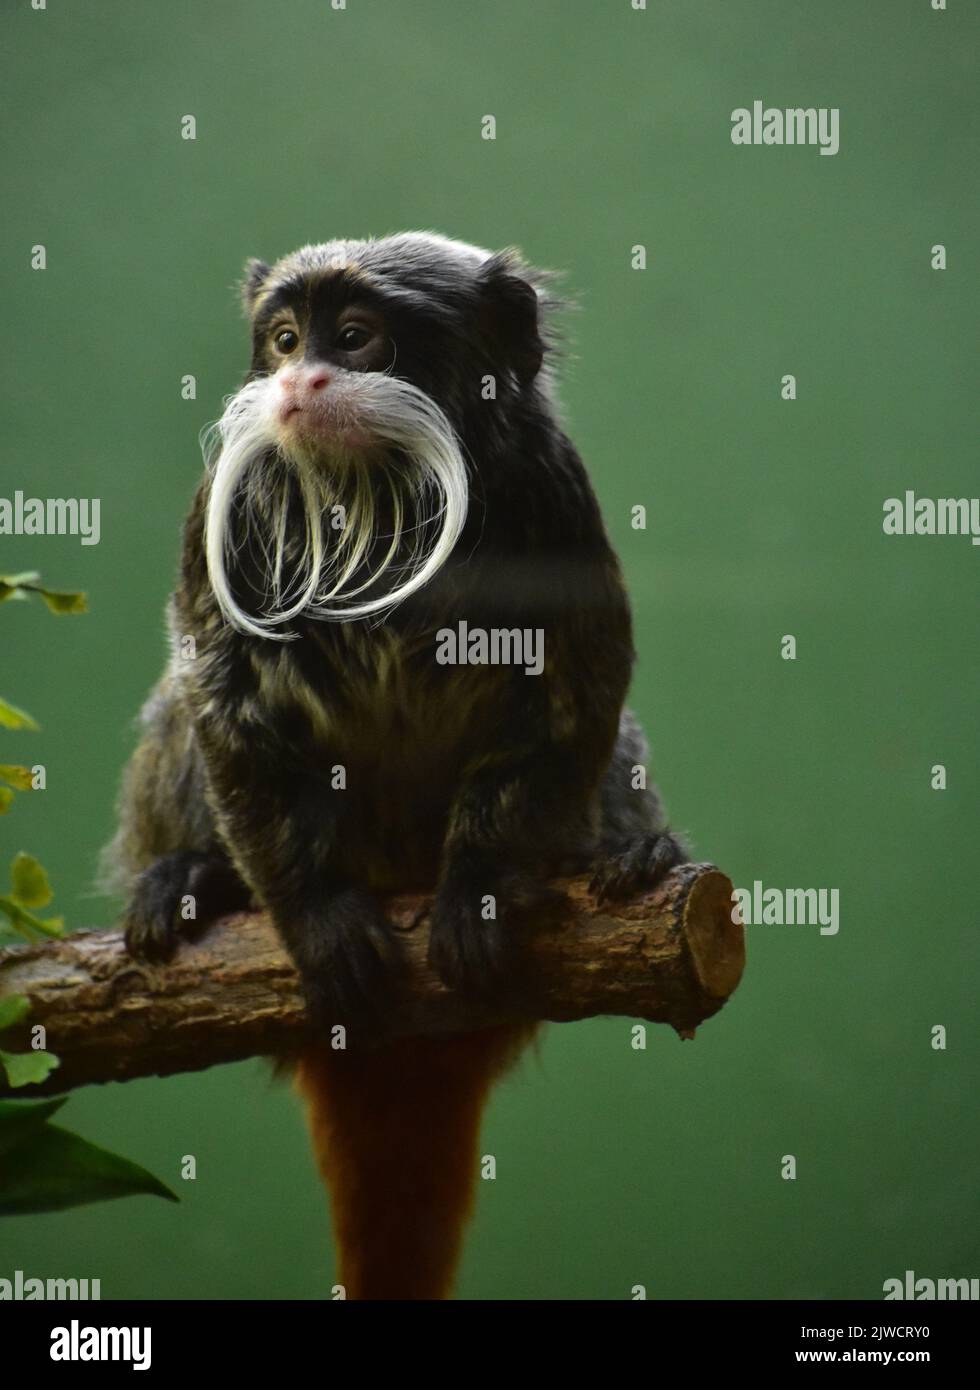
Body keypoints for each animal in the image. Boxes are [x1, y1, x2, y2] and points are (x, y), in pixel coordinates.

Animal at [103, 232, 688, 1300]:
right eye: (284, 339)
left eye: (354, 337)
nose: (301, 380)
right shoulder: (224, 508)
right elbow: (217, 687)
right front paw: (318, 920)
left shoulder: (551, 490)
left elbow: (580, 692)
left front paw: (482, 892)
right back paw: (191, 877)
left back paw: (633, 861)